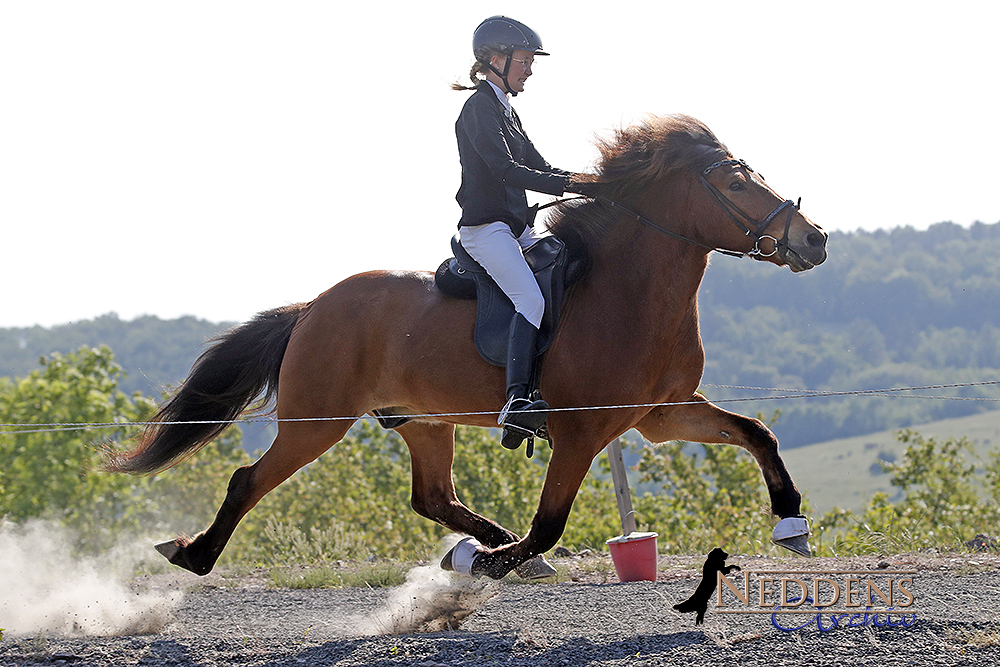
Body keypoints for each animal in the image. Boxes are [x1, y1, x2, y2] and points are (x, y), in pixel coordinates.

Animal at [107, 113, 828, 580]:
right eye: (734, 184)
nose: (814, 239)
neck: (629, 290)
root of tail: (312, 308)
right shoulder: (582, 430)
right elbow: (551, 521)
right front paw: (498, 562)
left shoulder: (661, 413)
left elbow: (756, 433)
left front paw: (791, 524)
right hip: (318, 421)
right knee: (249, 479)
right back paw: (192, 554)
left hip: (423, 420)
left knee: (431, 496)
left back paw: (477, 545)